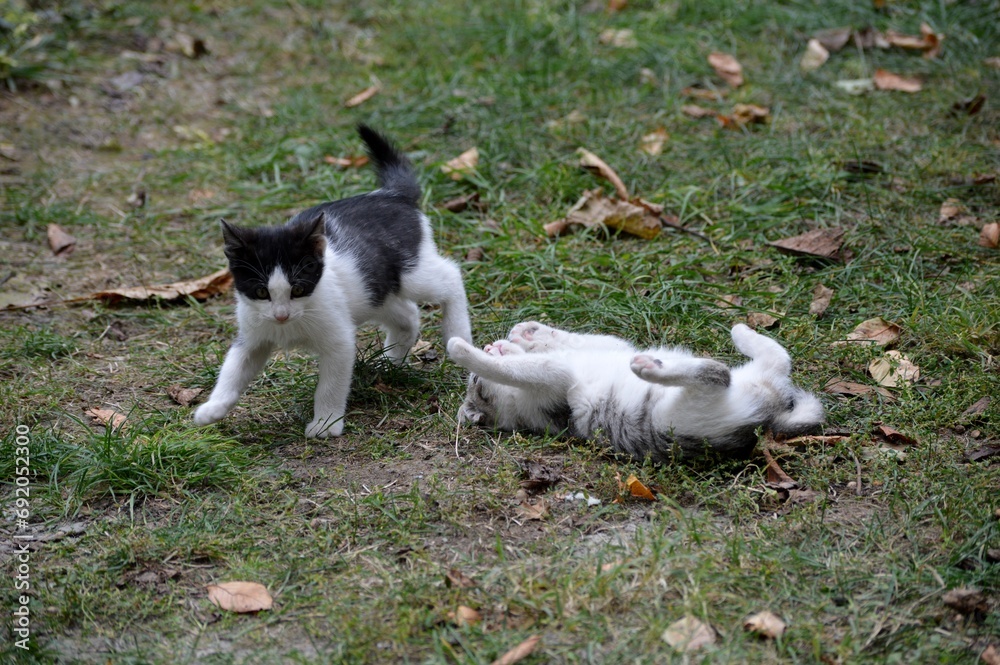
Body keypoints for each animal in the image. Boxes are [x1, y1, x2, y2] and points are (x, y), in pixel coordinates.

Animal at [198, 125, 476, 438]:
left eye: (298, 288)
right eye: (260, 292)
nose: (281, 315)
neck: (292, 323)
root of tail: (391, 195)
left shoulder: (339, 341)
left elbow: (330, 385)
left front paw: (325, 423)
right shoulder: (253, 334)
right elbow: (233, 369)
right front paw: (212, 408)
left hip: (411, 273)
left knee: (451, 275)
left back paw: (458, 334)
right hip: (372, 289)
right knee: (407, 313)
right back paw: (390, 361)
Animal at [450, 322, 824, 462]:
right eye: (474, 381)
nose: (490, 343)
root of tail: (769, 419)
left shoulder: (601, 349)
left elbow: (576, 339)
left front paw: (527, 334)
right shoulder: (555, 377)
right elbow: (511, 368)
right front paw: (461, 348)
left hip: (759, 378)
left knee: (777, 357)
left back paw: (741, 331)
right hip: (681, 413)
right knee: (717, 373)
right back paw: (650, 368)